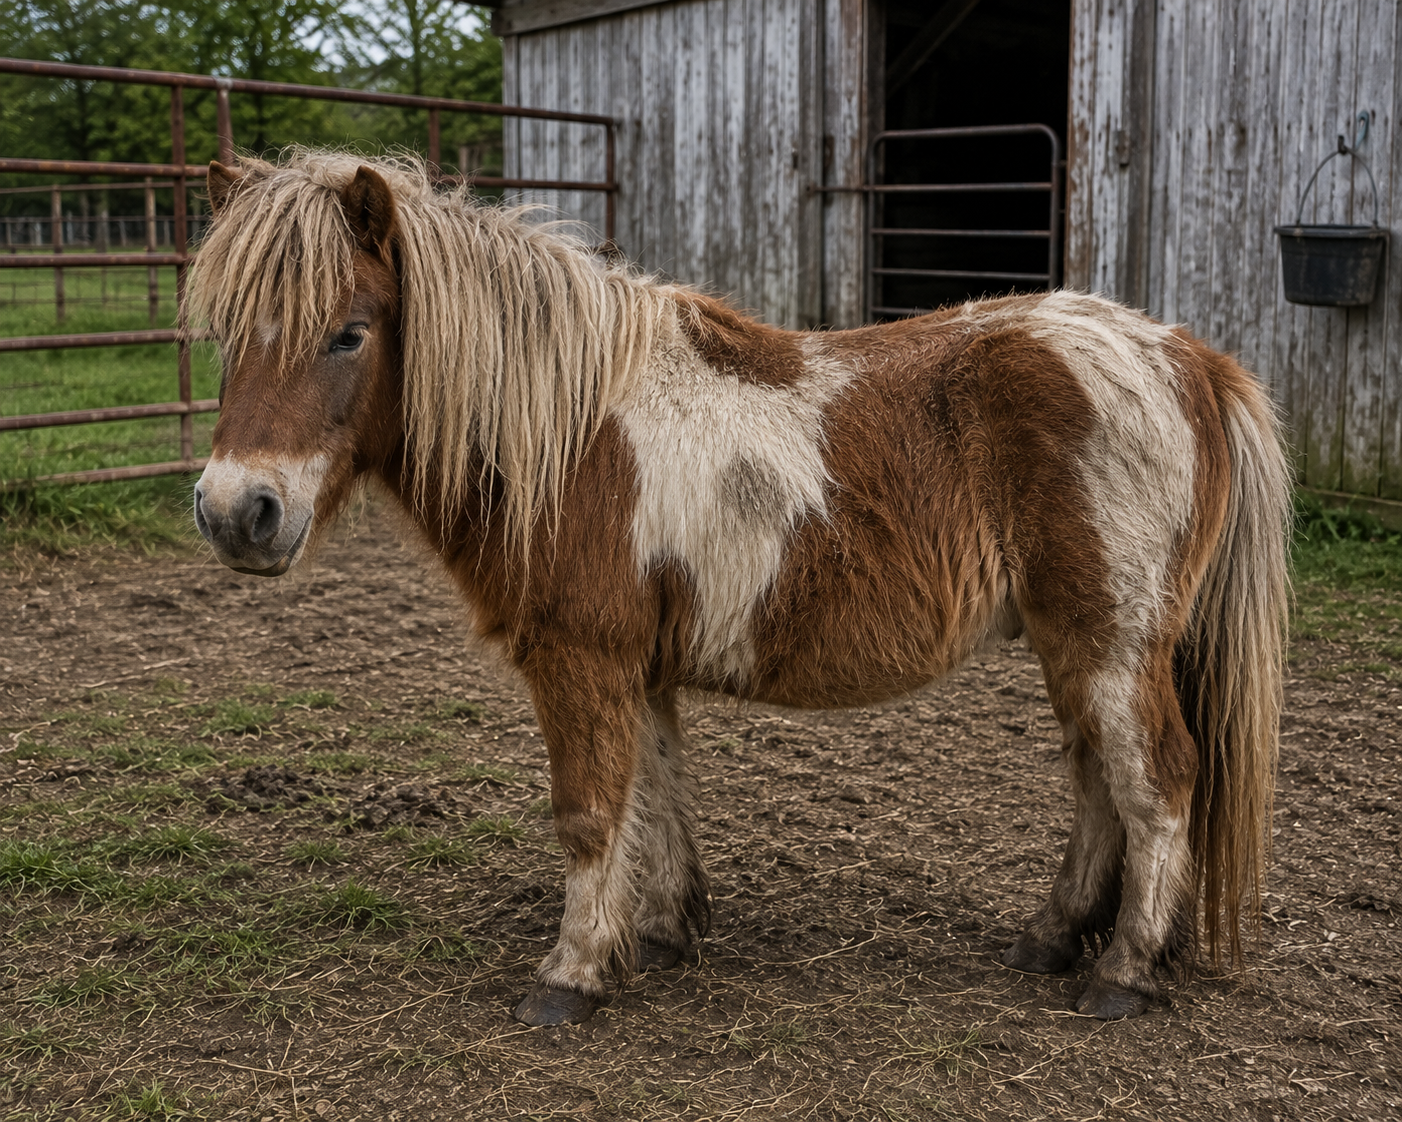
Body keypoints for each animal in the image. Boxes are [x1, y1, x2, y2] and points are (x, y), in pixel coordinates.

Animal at [189, 150, 1290, 1027]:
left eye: (349, 332)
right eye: (230, 333)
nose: (238, 511)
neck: (571, 433)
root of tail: (1189, 356)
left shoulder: (581, 661)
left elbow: (589, 811)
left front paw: (571, 975)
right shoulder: (638, 669)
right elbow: (655, 797)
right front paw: (659, 933)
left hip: (1112, 643)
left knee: (1157, 784)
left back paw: (1123, 973)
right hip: (1076, 648)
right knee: (1098, 782)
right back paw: (1052, 938)